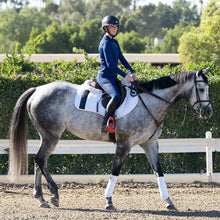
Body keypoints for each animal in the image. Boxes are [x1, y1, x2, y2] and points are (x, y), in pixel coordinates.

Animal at [9, 67, 213, 210]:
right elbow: (115, 171)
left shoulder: (150, 143)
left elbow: (159, 172)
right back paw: (54, 194)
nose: (208, 112)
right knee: (40, 159)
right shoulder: (124, 144)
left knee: (39, 161)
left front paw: (169, 201)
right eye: (201, 88)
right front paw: (108, 201)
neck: (150, 102)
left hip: (46, 136)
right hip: (52, 136)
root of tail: (37, 90)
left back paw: (41, 198)